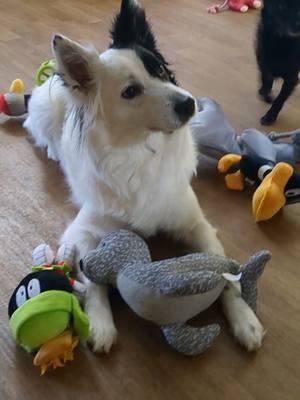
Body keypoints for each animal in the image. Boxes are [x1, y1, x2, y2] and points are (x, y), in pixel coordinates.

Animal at [23, 0, 264, 350]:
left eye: (160, 71)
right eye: (130, 91)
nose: (189, 103)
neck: (141, 150)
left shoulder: (196, 224)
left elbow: (228, 277)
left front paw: (245, 319)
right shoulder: (81, 231)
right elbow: (91, 278)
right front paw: (99, 323)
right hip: (44, 108)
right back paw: (55, 149)